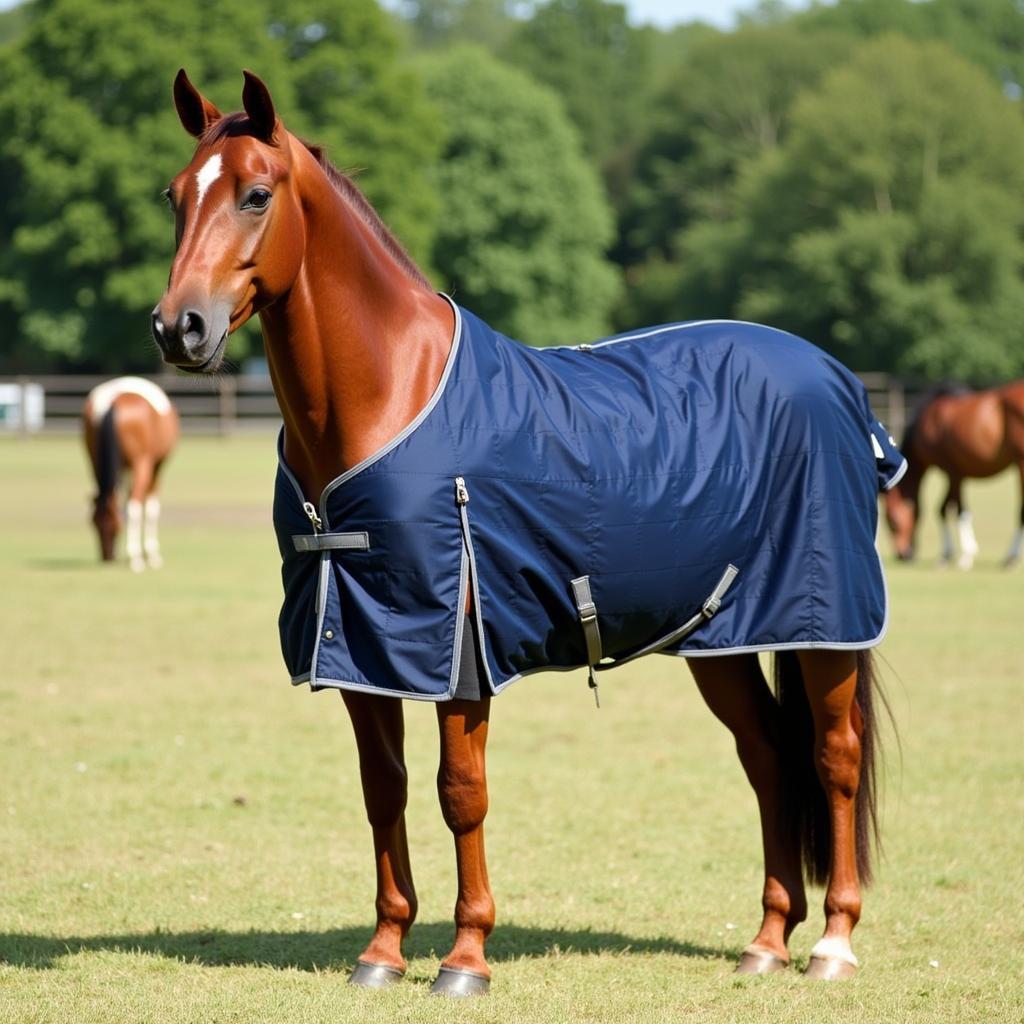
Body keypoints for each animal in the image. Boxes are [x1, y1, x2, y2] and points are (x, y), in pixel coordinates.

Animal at [80, 376, 179, 569]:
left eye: (94, 523)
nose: (107, 557)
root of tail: (112, 401)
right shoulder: (155, 466)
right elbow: (149, 508)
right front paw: (150, 555)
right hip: (142, 464)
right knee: (134, 505)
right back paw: (136, 558)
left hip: (94, 458)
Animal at [151, 70, 905, 991]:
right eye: (176, 196)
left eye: (256, 194)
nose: (178, 327)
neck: (389, 394)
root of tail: (836, 378)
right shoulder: (361, 641)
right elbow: (384, 789)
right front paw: (383, 951)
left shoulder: (459, 645)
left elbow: (460, 791)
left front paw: (466, 957)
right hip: (718, 637)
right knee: (767, 756)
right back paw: (765, 941)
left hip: (822, 628)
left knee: (833, 756)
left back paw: (832, 942)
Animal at [880, 382, 1024, 569]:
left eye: (892, 522)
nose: (903, 555)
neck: (928, 423)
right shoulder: (956, 474)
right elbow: (949, 509)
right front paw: (951, 554)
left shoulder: (952, 471)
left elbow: (953, 510)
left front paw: (963, 555)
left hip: (1021, 462)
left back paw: (1011, 557)